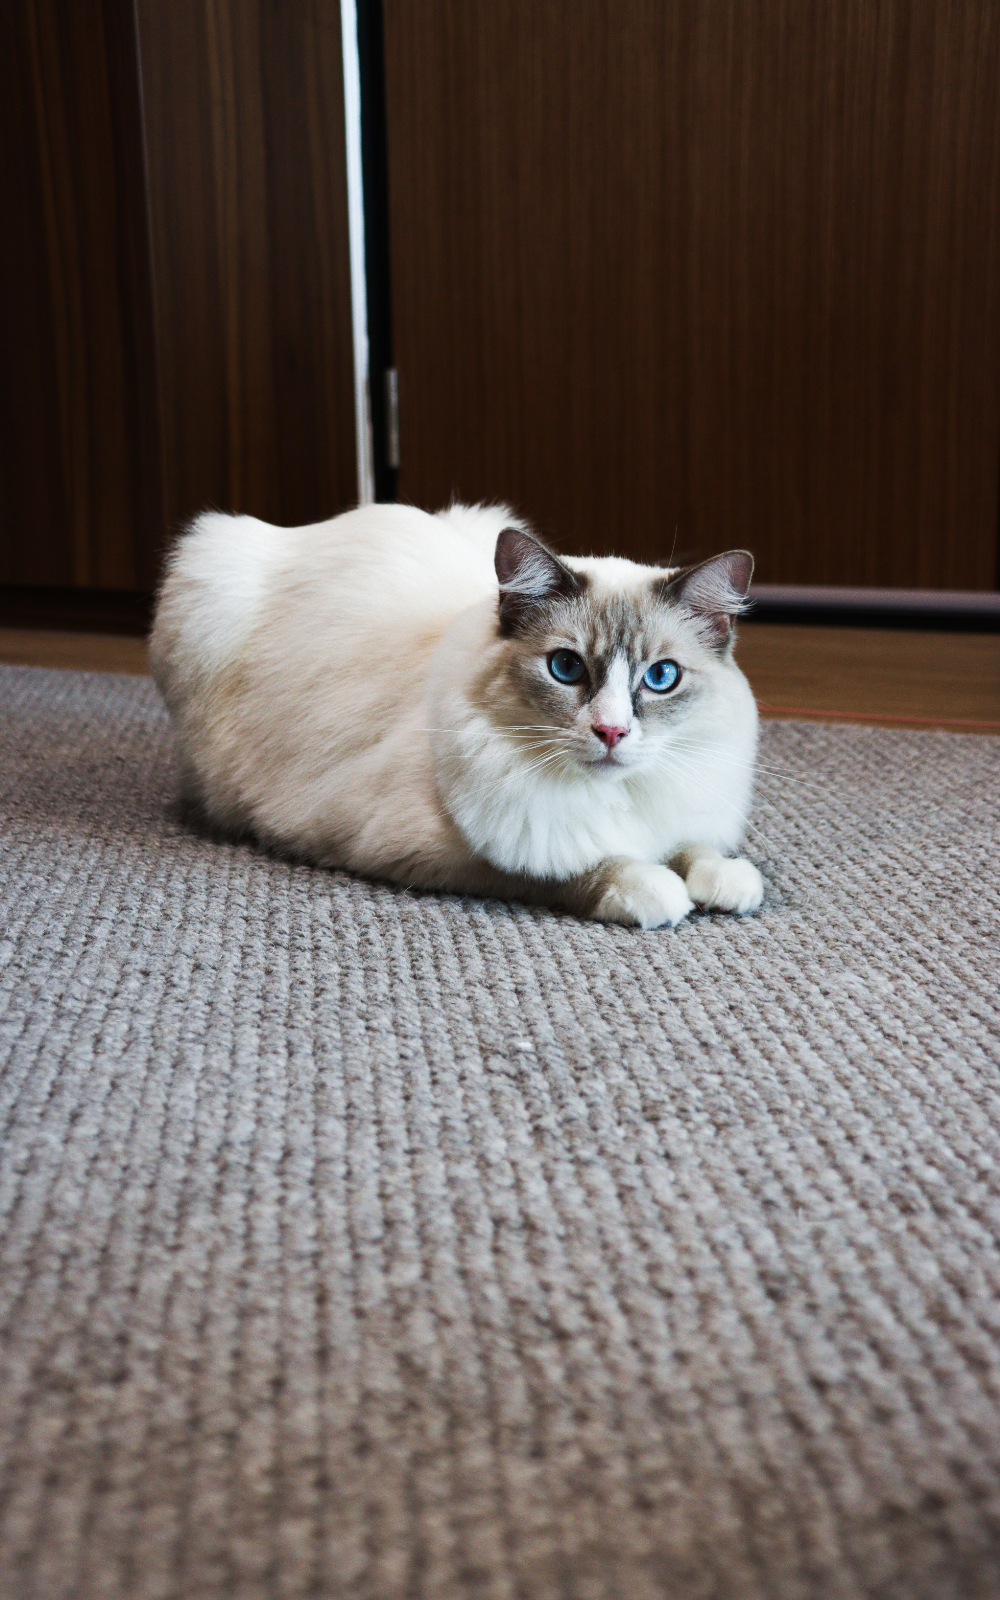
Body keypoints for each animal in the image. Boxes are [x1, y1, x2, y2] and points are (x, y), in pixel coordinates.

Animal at [148, 499, 761, 928]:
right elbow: (562, 868)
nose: (611, 731)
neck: (616, 796)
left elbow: (694, 847)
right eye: (566, 668)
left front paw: (725, 881)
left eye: (660, 678)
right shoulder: (419, 850)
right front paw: (652, 889)